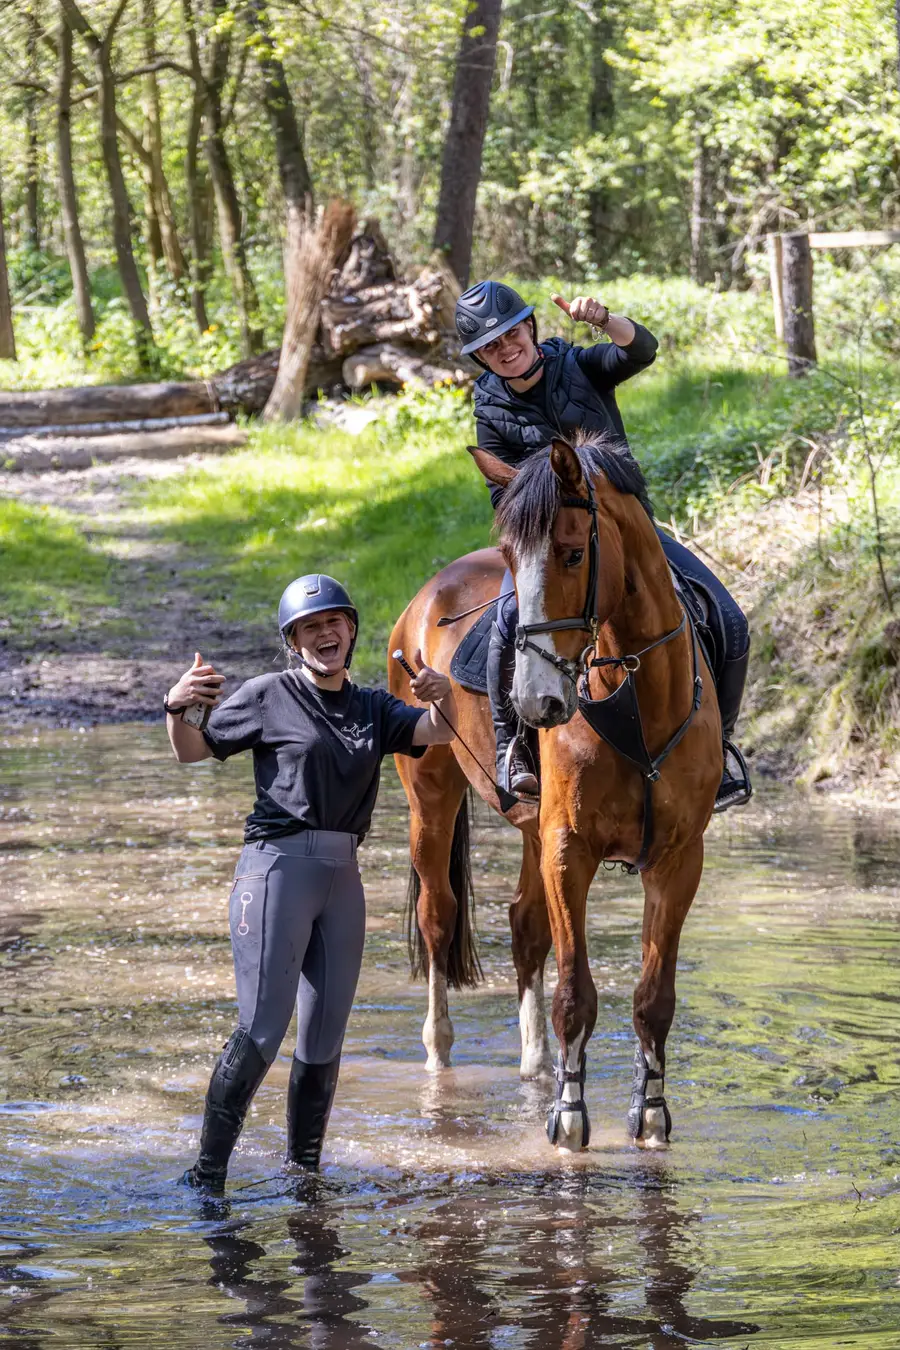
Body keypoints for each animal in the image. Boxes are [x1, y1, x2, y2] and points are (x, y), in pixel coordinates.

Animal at [387, 435, 722, 1150]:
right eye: (514, 559)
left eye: (572, 552)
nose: (535, 702)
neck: (637, 702)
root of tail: (425, 594)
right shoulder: (570, 851)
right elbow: (575, 993)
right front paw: (568, 1118)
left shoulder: (678, 859)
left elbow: (654, 998)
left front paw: (652, 1114)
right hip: (432, 797)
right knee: (438, 916)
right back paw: (441, 1053)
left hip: (528, 828)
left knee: (524, 926)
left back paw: (536, 1061)